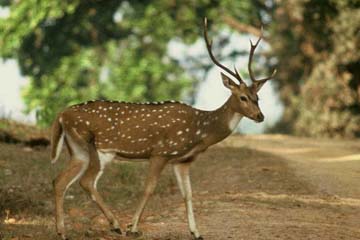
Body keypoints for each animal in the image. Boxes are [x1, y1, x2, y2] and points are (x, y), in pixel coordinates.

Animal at [50, 18, 276, 240]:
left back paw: (65, 231)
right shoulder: (160, 152)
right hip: (94, 146)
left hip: (81, 150)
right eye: (243, 97)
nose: (260, 116)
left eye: (258, 97)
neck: (199, 131)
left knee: (61, 181)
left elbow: (188, 193)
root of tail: (61, 115)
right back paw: (115, 226)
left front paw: (196, 232)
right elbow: (149, 189)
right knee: (85, 181)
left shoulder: (182, 160)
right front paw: (133, 228)